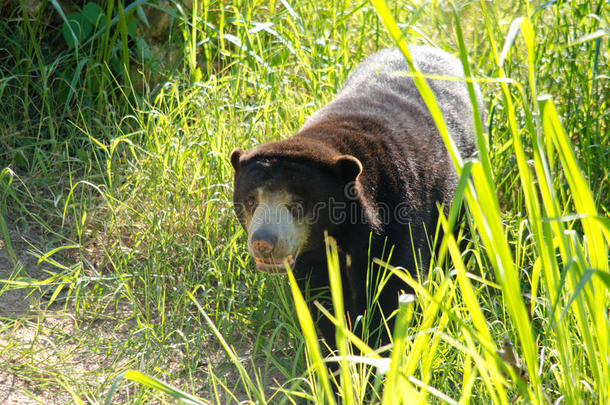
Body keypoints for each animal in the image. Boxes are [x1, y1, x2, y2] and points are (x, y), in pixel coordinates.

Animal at [230, 45, 482, 348]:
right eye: (250, 200)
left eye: (297, 204)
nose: (263, 243)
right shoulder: (312, 252)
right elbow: (323, 299)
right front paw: (336, 348)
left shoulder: (399, 208)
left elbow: (394, 286)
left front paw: (378, 347)